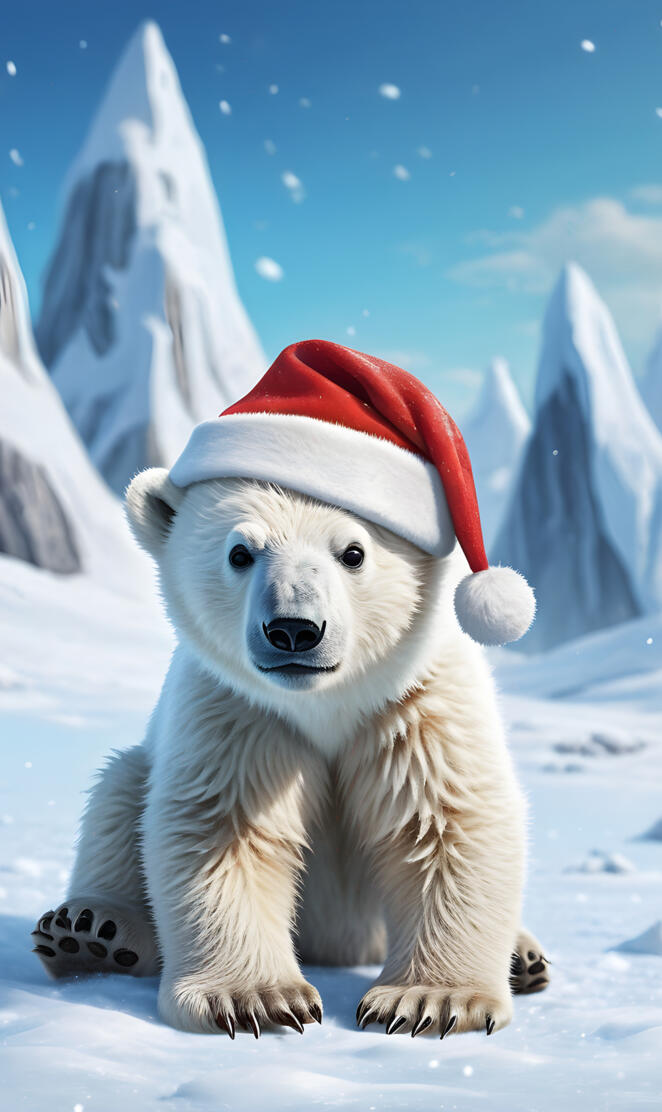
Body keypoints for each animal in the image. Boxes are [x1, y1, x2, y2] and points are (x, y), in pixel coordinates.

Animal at [33, 340, 549, 1038]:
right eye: (240, 552)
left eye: (353, 552)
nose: (295, 630)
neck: (327, 704)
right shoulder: (237, 709)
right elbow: (225, 828)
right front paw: (257, 997)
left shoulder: (416, 704)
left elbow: (445, 820)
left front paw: (430, 1001)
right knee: (119, 792)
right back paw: (90, 931)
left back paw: (523, 957)